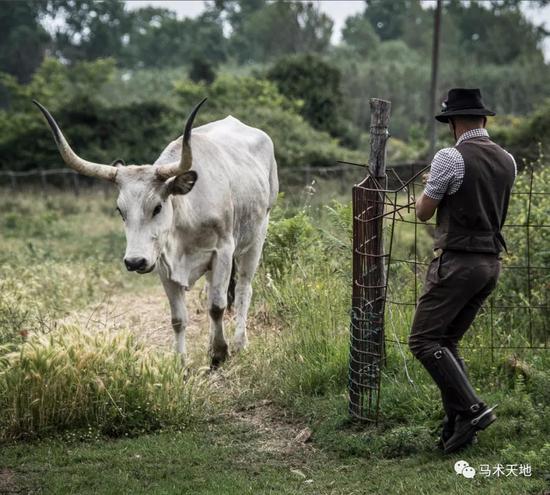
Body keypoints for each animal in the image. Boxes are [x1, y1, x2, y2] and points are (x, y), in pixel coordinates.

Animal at [34, 99, 278, 366]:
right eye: (120, 210)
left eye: (157, 207)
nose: (134, 261)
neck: (185, 215)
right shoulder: (163, 262)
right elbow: (178, 318)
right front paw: (181, 363)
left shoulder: (223, 251)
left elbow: (217, 306)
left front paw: (219, 354)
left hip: (256, 237)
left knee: (244, 288)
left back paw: (239, 342)